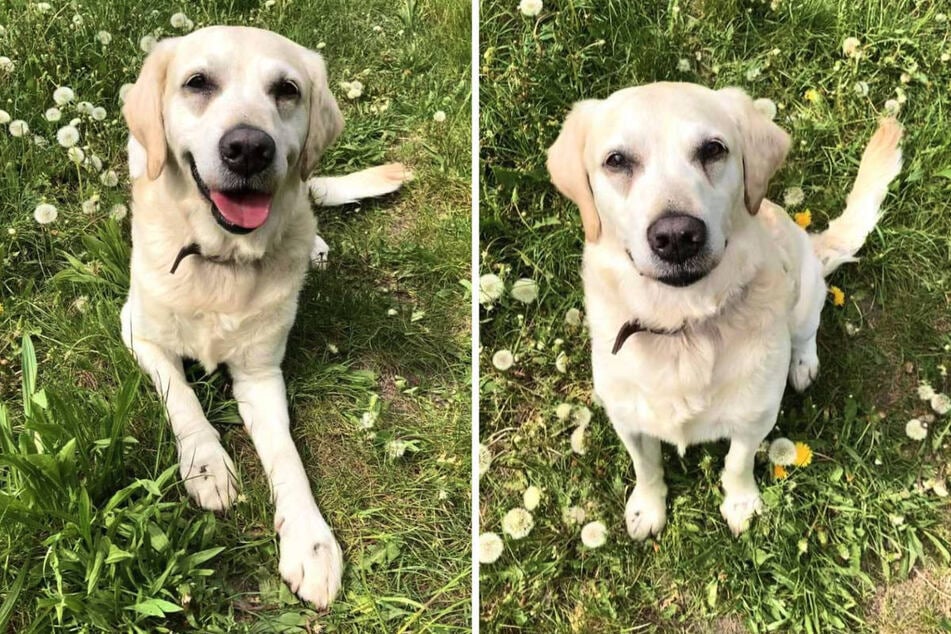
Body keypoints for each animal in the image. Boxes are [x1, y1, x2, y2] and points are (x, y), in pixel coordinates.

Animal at [120, 25, 410, 608]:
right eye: (197, 82)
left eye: (286, 90)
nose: (250, 149)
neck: (221, 260)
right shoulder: (138, 331)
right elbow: (182, 397)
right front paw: (207, 465)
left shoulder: (260, 373)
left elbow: (286, 456)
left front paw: (311, 541)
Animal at [548, 81, 904, 540]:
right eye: (617, 161)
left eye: (713, 150)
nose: (677, 236)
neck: (682, 325)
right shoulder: (628, 421)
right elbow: (646, 467)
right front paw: (647, 507)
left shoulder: (755, 418)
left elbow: (737, 463)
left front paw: (742, 504)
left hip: (805, 292)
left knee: (807, 331)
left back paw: (803, 363)